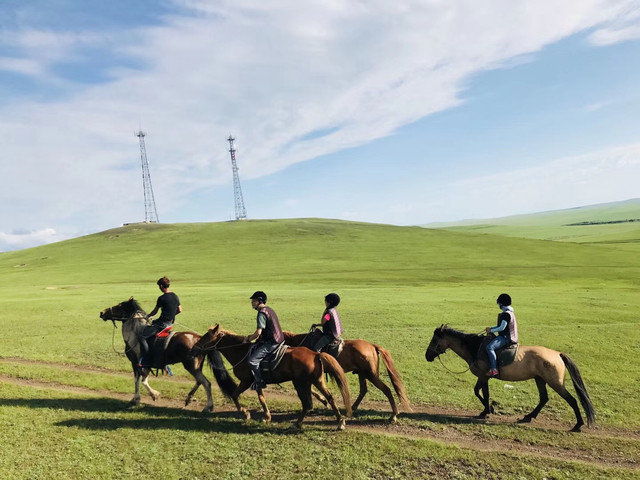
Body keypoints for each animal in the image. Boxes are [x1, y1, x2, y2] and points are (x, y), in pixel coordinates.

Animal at [99, 296, 239, 412]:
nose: (102, 313)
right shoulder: (145, 365)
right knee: (200, 381)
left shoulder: (136, 363)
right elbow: (142, 379)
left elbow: (139, 380)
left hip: (191, 366)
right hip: (195, 367)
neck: (135, 334)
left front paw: (148, 396)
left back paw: (208, 407)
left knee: (206, 383)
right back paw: (188, 398)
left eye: (119, 306)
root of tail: (199, 338)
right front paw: (142, 397)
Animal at [192, 322, 352, 432]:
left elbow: (235, 394)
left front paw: (245, 413)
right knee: (327, 398)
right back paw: (338, 422)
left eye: (206, 336)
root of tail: (315, 354)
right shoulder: (256, 382)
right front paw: (267, 417)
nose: (193, 349)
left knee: (308, 403)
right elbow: (261, 398)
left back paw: (300, 423)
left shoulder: (246, 381)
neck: (241, 352)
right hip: (314, 381)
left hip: (301, 383)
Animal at [282, 330, 412, 420]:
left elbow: (312, 390)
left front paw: (323, 401)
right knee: (363, 390)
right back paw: (352, 408)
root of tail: (372, 346)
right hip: (362, 373)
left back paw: (393, 415)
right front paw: (322, 401)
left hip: (371, 374)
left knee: (386, 389)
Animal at [424, 326, 596, 432]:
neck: (476, 349)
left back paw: (578, 424)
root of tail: (557, 354)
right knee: (543, 398)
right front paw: (489, 409)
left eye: (434, 340)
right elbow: (477, 391)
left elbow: (483, 393)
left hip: (555, 383)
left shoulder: (484, 377)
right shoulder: (482, 377)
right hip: (540, 379)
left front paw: (486, 411)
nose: (427, 356)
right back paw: (528, 416)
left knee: (572, 400)